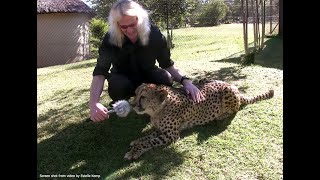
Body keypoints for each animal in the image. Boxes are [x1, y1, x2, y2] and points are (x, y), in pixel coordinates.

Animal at [124, 79, 274, 160]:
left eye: (143, 97)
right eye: (135, 94)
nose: (132, 104)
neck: (159, 109)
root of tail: (232, 85)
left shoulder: (171, 135)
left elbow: (149, 142)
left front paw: (134, 151)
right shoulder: (161, 130)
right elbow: (147, 137)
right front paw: (136, 141)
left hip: (227, 91)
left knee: (235, 108)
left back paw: (220, 116)